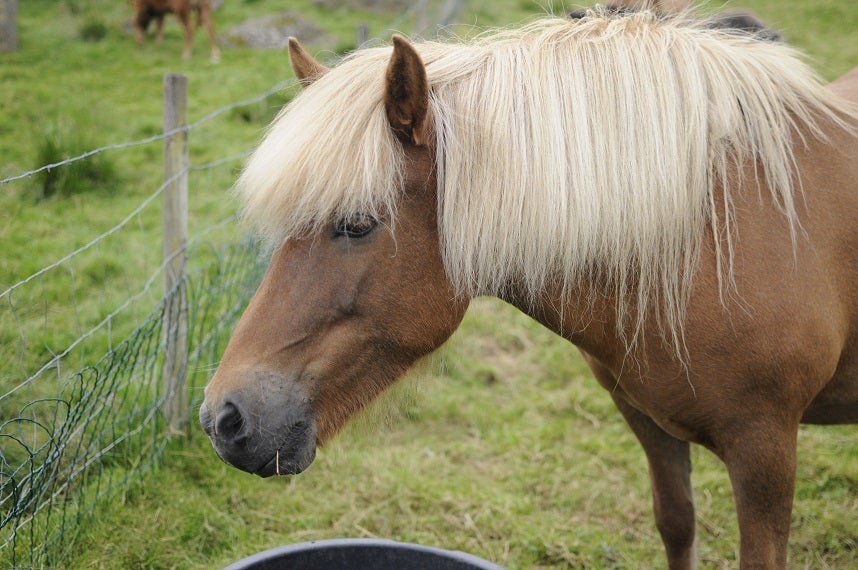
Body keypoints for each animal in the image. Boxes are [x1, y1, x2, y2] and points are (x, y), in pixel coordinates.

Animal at [199, 10, 856, 568]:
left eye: (357, 224)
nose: (222, 418)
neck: (711, 238)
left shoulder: (766, 447)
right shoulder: (648, 420)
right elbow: (677, 524)